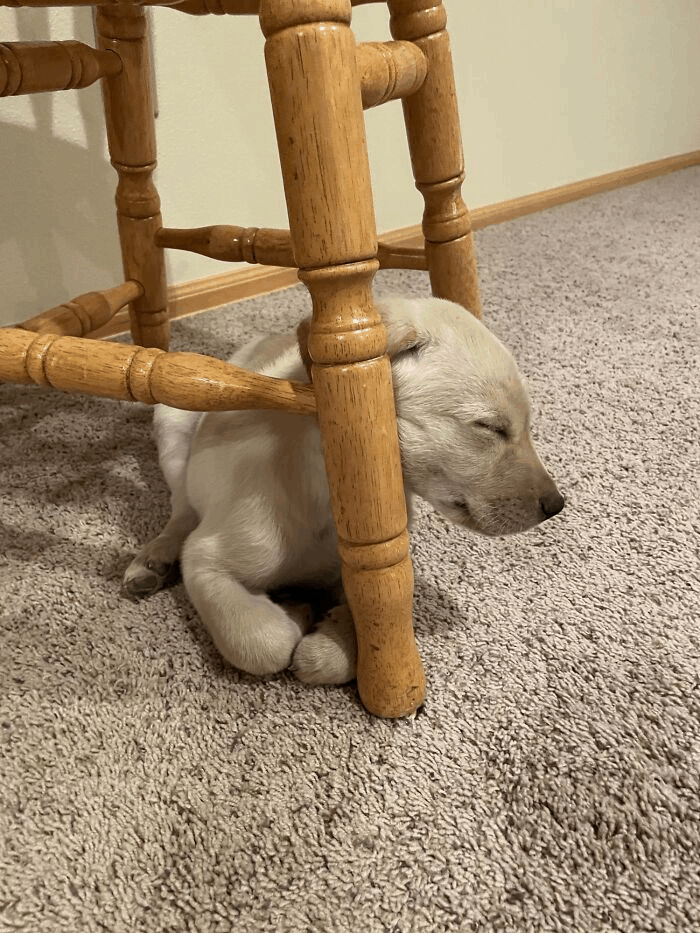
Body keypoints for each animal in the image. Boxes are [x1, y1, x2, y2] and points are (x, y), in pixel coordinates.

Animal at [123, 298, 568, 684]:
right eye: (489, 427)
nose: (556, 506)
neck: (329, 493)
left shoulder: (370, 573)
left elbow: (363, 625)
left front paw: (326, 639)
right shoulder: (206, 562)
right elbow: (264, 642)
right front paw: (295, 613)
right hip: (172, 422)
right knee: (181, 510)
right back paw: (152, 560)